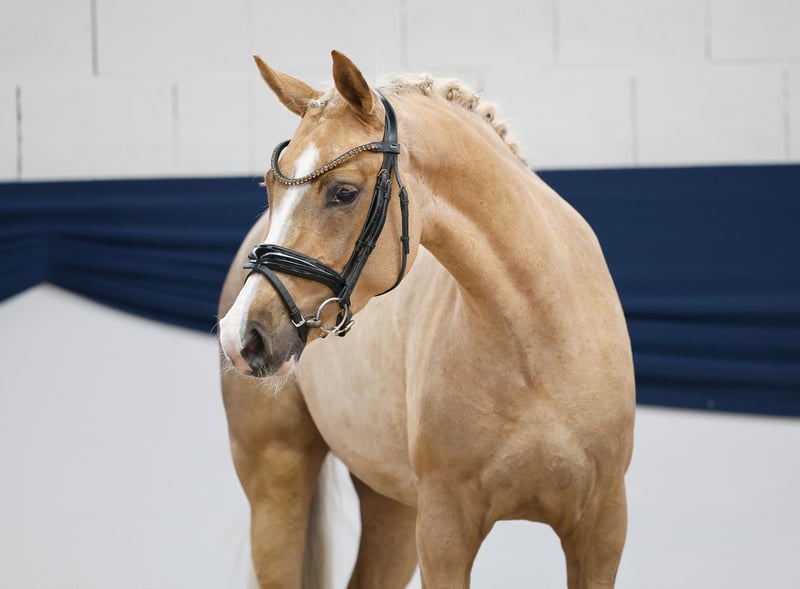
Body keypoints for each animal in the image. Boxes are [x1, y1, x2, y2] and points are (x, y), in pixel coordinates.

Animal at [218, 50, 635, 589]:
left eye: (344, 192)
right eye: (270, 186)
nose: (242, 335)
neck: (536, 341)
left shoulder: (601, 529)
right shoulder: (444, 530)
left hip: (392, 504)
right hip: (277, 476)